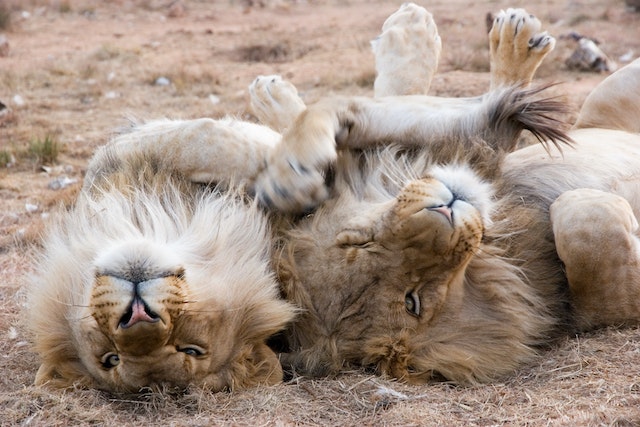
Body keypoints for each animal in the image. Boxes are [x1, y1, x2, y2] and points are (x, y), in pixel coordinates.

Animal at [249, 4, 640, 383]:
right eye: (413, 301)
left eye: (357, 241)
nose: (446, 210)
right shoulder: (578, 308)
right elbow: (582, 225)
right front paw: (598, 205)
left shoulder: (456, 139)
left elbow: (333, 107)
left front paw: (289, 176)